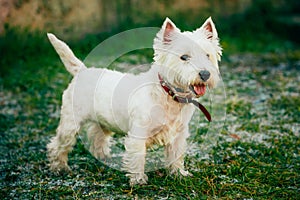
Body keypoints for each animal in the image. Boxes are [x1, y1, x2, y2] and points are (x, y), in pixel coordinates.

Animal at [46, 17, 220, 186]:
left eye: (207, 55)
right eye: (184, 57)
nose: (205, 74)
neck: (169, 95)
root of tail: (82, 71)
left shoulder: (178, 134)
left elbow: (176, 155)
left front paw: (179, 175)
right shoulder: (138, 134)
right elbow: (137, 157)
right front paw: (138, 180)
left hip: (103, 120)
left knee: (97, 136)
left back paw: (103, 158)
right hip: (71, 121)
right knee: (59, 144)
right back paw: (59, 168)